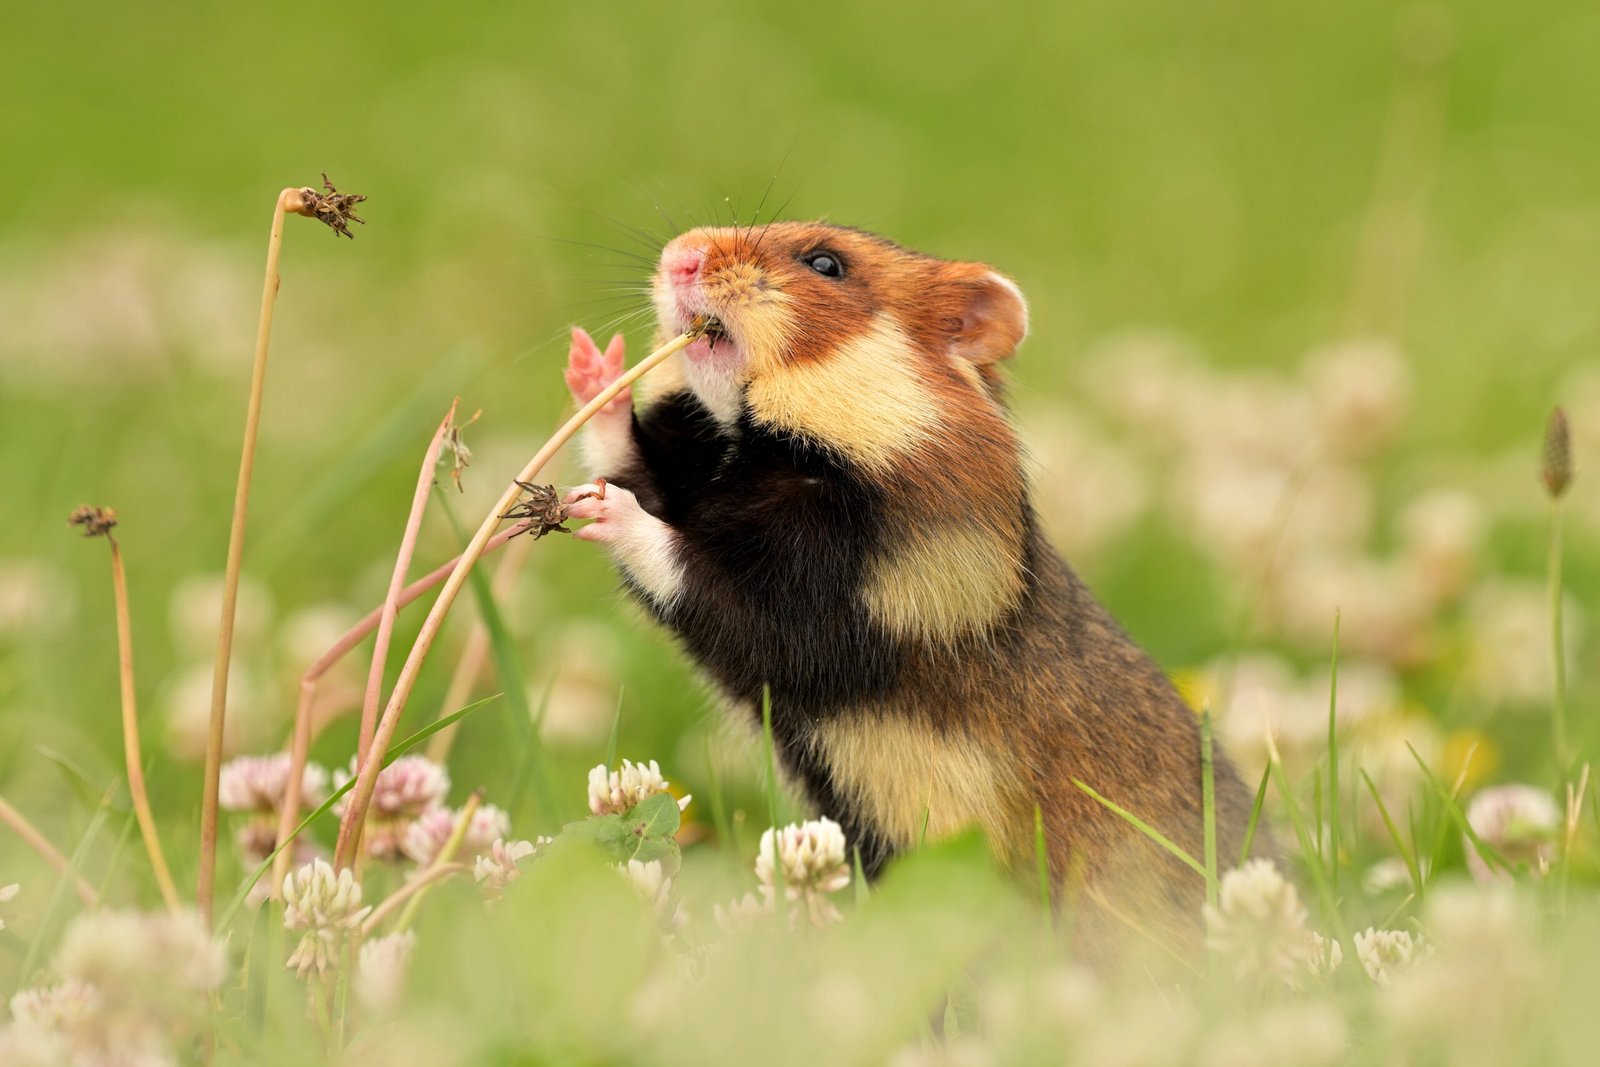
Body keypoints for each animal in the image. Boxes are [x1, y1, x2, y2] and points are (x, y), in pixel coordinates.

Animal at [561, 221, 1254, 959]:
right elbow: (634, 467)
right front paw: (596, 373)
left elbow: (687, 565)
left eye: (826, 264)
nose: (679, 255)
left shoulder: (822, 619)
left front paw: (606, 509)